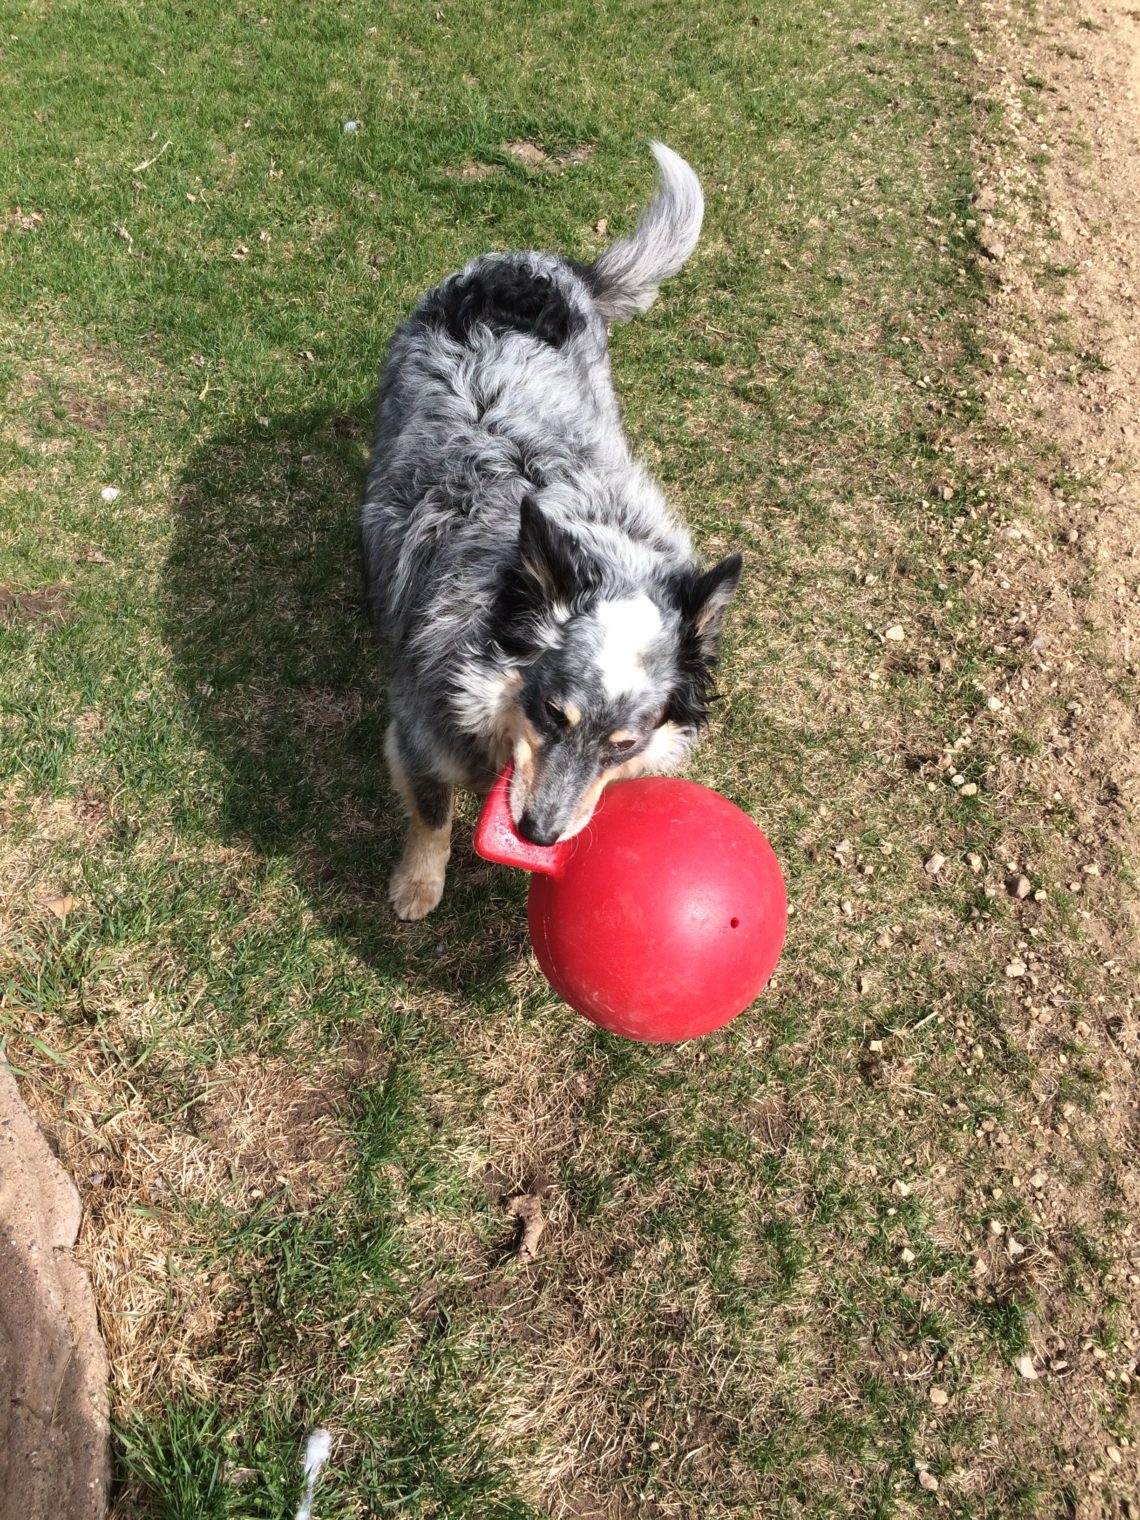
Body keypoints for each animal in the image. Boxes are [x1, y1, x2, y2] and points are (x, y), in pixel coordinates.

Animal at [361, 142, 744, 918]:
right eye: (551, 713)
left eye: (623, 745)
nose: (538, 836)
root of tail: (535, 262)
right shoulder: (416, 730)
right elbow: (430, 812)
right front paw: (418, 885)